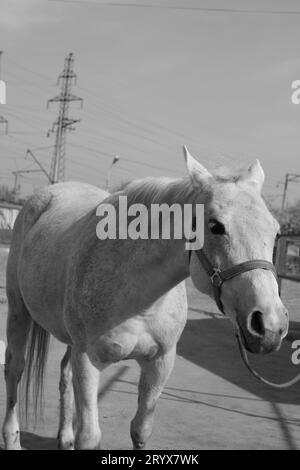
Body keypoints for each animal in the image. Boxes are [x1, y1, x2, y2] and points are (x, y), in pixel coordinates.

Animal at [1, 147, 288, 448]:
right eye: (215, 226)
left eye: (276, 231)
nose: (269, 325)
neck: (139, 301)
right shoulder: (88, 360)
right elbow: (89, 436)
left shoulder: (160, 362)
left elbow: (140, 430)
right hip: (19, 312)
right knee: (15, 369)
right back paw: (12, 438)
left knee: (65, 375)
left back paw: (65, 436)